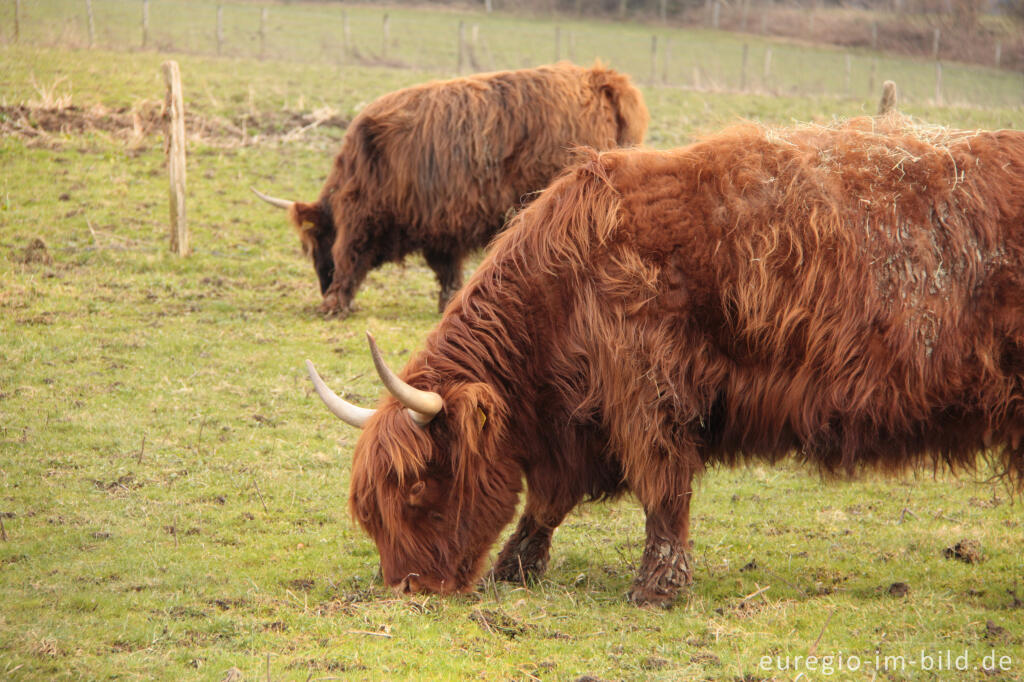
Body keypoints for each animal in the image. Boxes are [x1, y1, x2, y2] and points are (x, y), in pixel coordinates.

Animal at [251, 60, 643, 313]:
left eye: (315, 242)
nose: (321, 284)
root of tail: (600, 79)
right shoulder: (443, 226)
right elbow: (448, 271)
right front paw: (448, 302)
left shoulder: (366, 213)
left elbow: (350, 252)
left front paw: (334, 303)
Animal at [303, 118, 1024, 606]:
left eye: (418, 488)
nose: (408, 588)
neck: (568, 284)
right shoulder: (577, 421)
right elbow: (548, 500)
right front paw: (517, 565)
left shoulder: (649, 392)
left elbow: (663, 489)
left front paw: (658, 587)